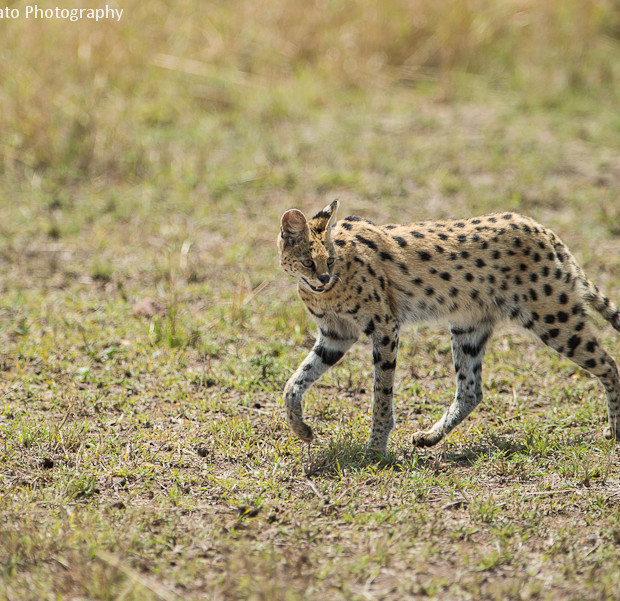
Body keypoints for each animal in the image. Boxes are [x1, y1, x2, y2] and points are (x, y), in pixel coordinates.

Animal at [278, 199, 620, 452]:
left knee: (609, 364)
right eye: (309, 262)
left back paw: (614, 430)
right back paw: (431, 436)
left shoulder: (385, 328)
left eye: (330, 260)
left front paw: (376, 447)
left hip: (554, 319)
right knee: (471, 391)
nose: (324, 278)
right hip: (468, 326)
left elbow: (381, 393)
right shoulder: (336, 335)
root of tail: (545, 231)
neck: (323, 292)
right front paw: (301, 429)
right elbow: (293, 383)